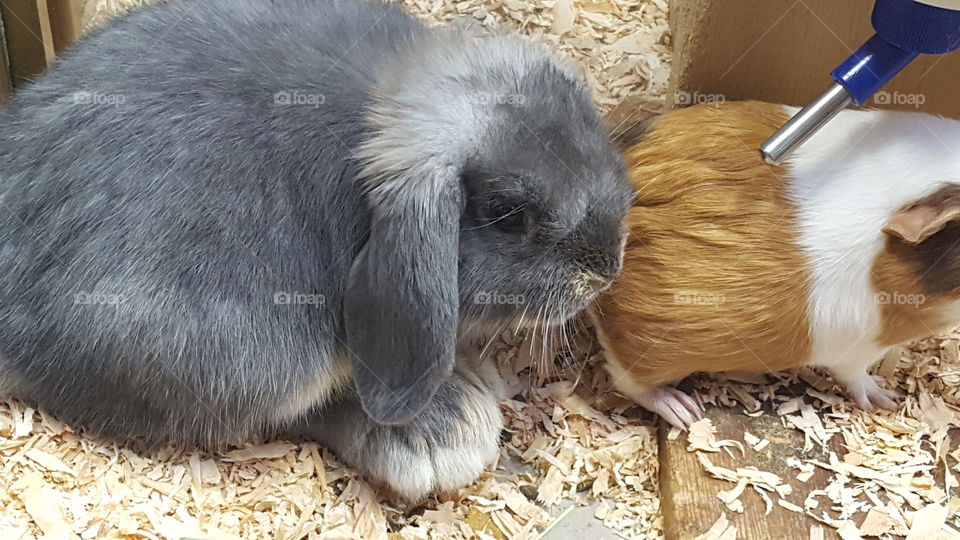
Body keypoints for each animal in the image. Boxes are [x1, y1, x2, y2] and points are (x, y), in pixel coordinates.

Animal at [592, 100, 960, 429]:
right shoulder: (857, 350)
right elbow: (855, 376)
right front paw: (885, 400)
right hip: (649, 356)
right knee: (629, 381)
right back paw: (683, 411)